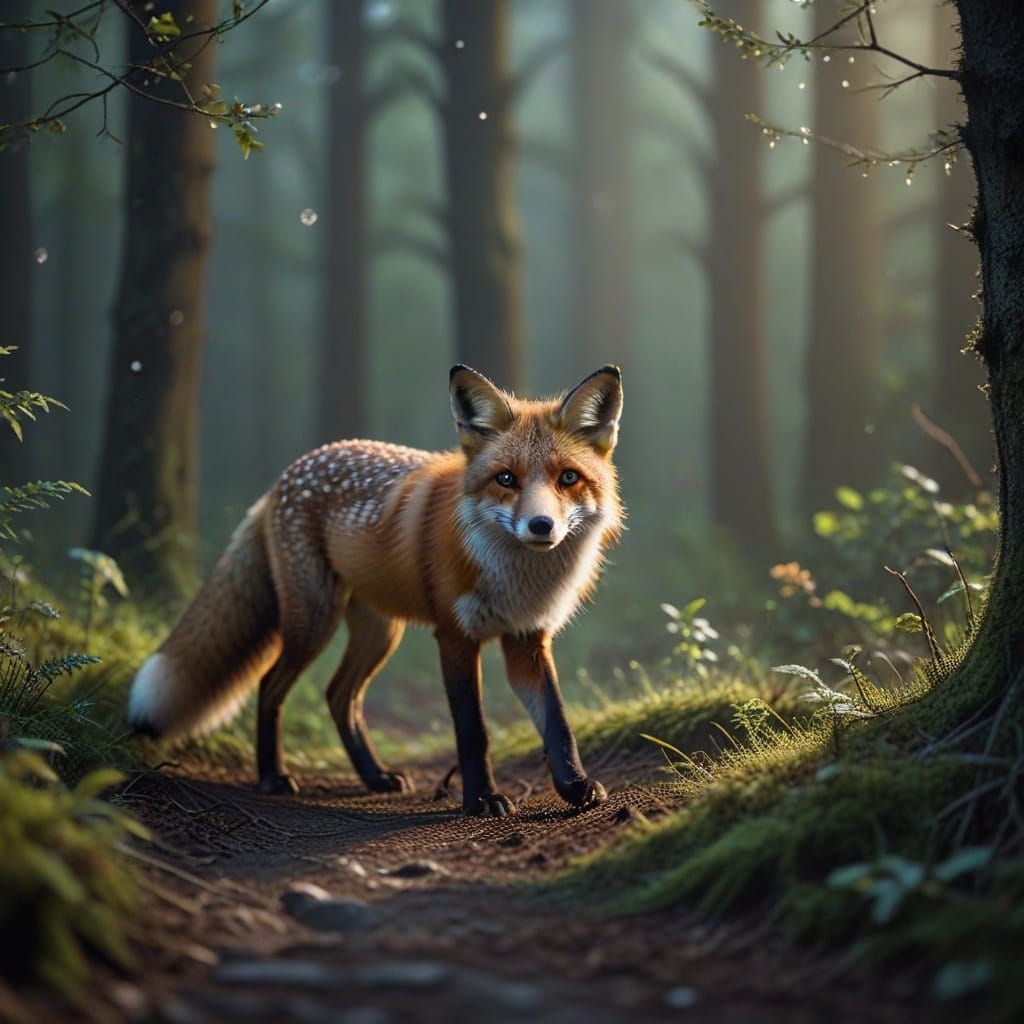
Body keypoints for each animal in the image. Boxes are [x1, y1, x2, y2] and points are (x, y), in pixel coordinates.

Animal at [128, 364, 624, 816]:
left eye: (568, 478)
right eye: (505, 479)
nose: (541, 526)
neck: (517, 577)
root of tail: (285, 475)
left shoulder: (527, 639)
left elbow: (557, 721)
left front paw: (575, 787)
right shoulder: (455, 636)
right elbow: (473, 730)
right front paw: (482, 798)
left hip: (379, 633)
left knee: (339, 695)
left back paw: (373, 775)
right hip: (315, 620)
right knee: (271, 684)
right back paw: (272, 776)